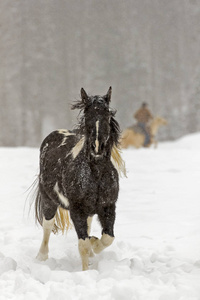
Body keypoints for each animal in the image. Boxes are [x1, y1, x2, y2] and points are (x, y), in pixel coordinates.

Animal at [34, 87, 125, 272]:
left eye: (106, 113)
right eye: (87, 114)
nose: (97, 147)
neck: (96, 174)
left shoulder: (108, 207)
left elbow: (107, 238)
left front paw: (94, 244)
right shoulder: (77, 210)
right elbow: (82, 244)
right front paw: (86, 272)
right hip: (49, 201)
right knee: (47, 226)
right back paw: (41, 256)